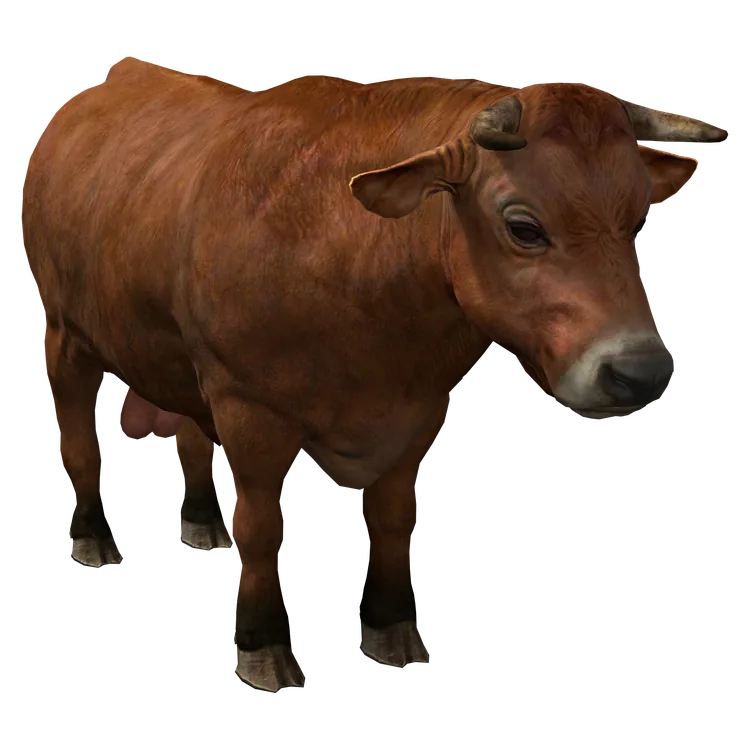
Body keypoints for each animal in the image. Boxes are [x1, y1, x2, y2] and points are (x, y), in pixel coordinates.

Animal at [20, 57, 727, 692]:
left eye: (637, 219)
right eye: (524, 227)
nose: (640, 370)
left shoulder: (418, 412)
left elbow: (391, 521)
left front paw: (390, 632)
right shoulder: (247, 406)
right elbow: (261, 529)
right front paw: (261, 646)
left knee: (188, 429)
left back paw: (199, 522)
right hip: (63, 328)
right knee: (77, 430)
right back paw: (92, 535)